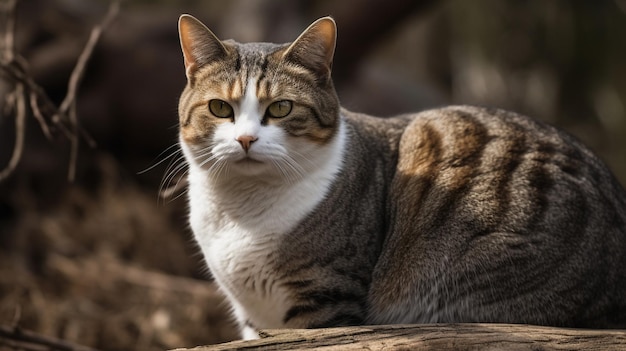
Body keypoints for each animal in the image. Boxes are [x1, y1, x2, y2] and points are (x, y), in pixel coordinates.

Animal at [174, 14, 624, 340]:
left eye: (281, 108)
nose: (246, 139)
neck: (242, 211)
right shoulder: (253, 315)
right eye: (219, 108)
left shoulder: (327, 294)